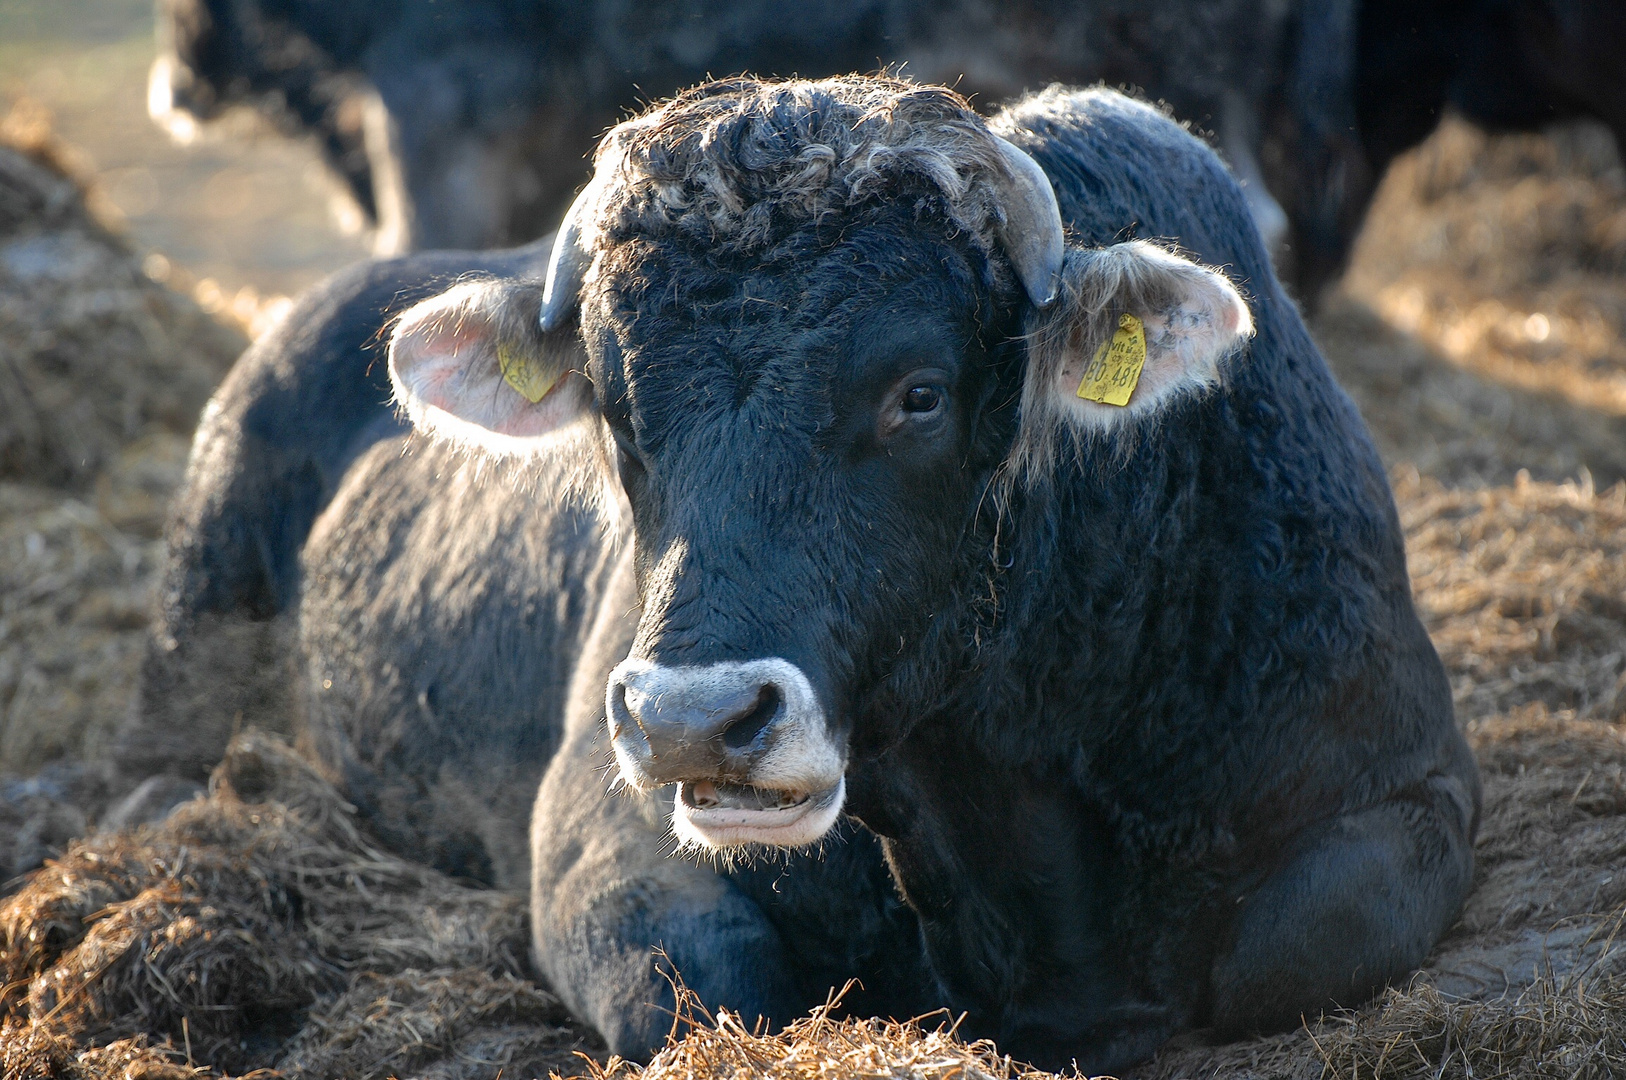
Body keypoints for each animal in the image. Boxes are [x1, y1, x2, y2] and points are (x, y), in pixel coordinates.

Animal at [130, 76, 1476, 1073]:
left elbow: (1287, 949)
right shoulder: (604, 856)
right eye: (618, 411)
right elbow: (713, 994)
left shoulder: (1408, 786)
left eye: (918, 394)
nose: (694, 719)